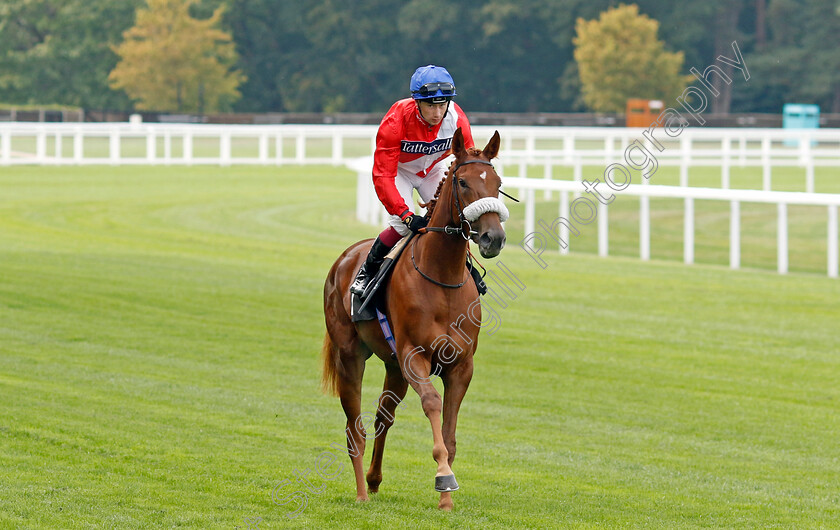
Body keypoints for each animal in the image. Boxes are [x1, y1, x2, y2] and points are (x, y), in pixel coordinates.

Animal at [320, 127, 506, 508]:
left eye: (497, 182)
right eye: (462, 182)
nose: (493, 237)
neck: (443, 278)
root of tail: (344, 258)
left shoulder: (461, 365)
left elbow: (449, 432)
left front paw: (447, 499)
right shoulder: (413, 356)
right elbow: (432, 404)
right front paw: (443, 478)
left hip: (392, 366)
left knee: (383, 415)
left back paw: (374, 480)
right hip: (351, 356)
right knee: (355, 428)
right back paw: (362, 493)